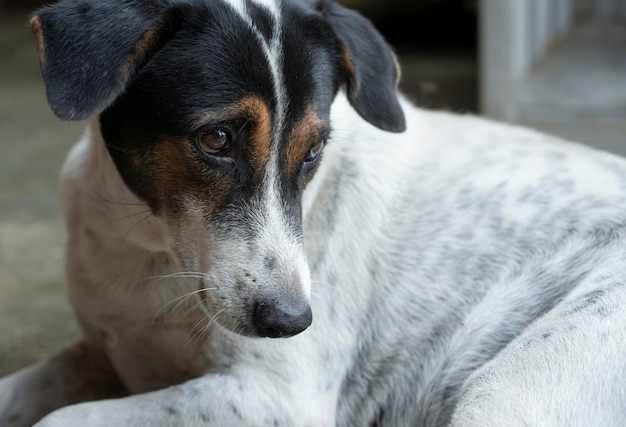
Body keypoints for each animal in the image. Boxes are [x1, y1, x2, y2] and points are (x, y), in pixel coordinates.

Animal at [1, 0, 624, 426]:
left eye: (314, 152)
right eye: (216, 138)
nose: (291, 323)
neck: (146, 247)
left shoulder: (275, 397)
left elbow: (61, 419)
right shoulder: (99, 353)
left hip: (504, 392)